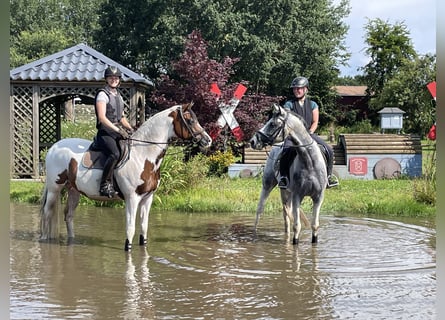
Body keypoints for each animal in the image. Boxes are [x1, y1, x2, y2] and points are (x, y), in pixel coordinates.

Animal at [39, 102, 211, 250]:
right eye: (190, 120)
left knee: (68, 216)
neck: (143, 155)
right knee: (47, 214)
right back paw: (45, 240)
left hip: (74, 190)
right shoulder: (132, 198)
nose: (207, 140)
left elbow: (143, 228)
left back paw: (72, 240)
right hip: (55, 188)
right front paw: (128, 251)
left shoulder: (148, 198)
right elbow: (130, 229)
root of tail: (53, 147)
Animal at [250, 104, 326, 244]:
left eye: (272, 124)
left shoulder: (318, 197)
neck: (309, 161)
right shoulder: (297, 196)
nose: (252, 141)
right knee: (260, 210)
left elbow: (314, 225)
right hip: (268, 186)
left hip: (286, 191)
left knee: (286, 215)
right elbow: (297, 226)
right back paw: (254, 234)